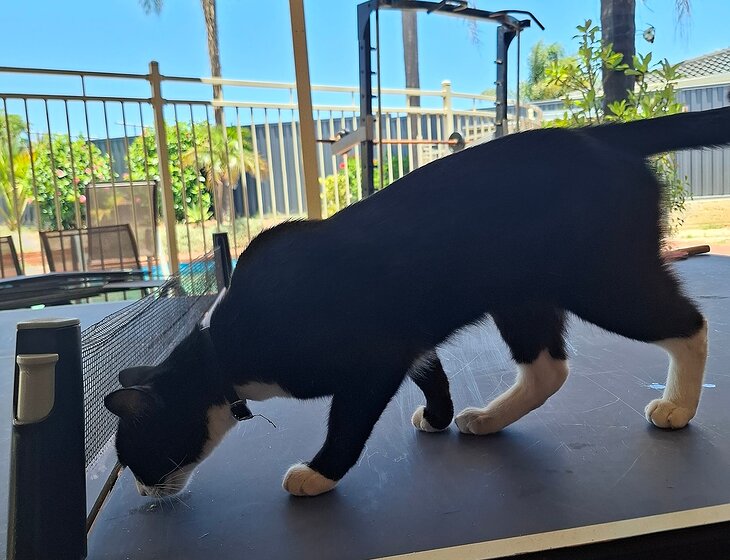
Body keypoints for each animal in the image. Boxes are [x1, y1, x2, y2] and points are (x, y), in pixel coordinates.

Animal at [105, 106, 730, 498]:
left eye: (133, 453)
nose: (141, 491)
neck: (224, 348)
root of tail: (606, 134)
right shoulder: (410, 338)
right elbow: (434, 373)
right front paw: (439, 416)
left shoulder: (372, 358)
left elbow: (348, 423)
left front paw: (318, 475)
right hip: (521, 293)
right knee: (549, 368)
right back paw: (487, 419)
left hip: (599, 277)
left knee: (690, 323)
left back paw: (678, 407)